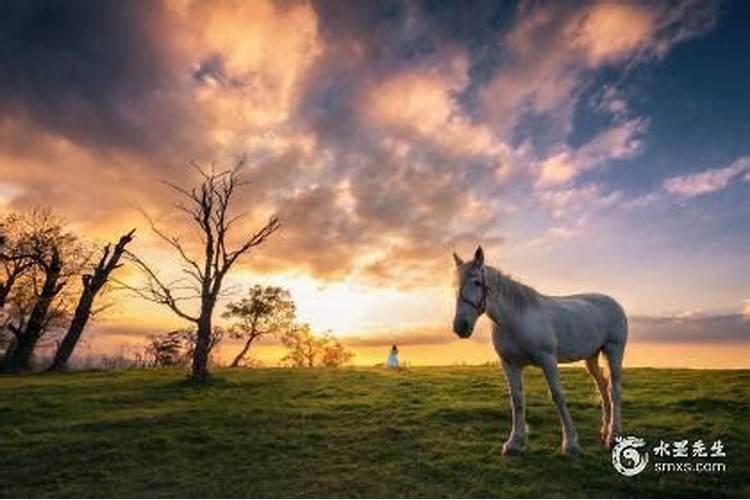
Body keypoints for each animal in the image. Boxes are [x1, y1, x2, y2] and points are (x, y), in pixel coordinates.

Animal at [452, 244, 628, 456]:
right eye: (455, 285)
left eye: (477, 283)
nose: (460, 327)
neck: (516, 319)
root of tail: (613, 302)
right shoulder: (509, 364)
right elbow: (517, 400)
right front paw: (514, 442)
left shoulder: (548, 360)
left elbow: (557, 396)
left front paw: (570, 442)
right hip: (591, 357)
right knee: (602, 386)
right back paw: (604, 430)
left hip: (614, 350)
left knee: (614, 389)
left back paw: (613, 436)